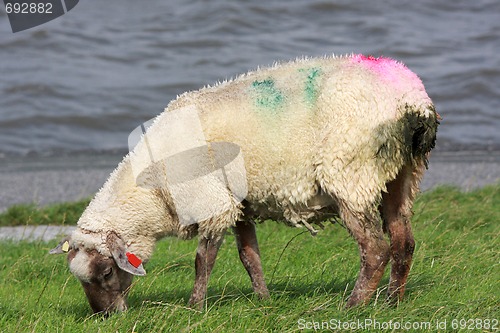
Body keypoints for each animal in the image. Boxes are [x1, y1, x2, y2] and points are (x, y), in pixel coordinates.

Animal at [50, 53, 440, 312]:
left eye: (105, 272)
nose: (105, 316)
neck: (154, 189)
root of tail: (413, 101)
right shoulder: (239, 204)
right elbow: (249, 256)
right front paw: (264, 301)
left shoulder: (213, 203)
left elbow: (203, 260)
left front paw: (195, 307)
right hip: (401, 175)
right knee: (404, 243)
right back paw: (391, 302)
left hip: (350, 174)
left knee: (375, 249)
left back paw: (354, 305)